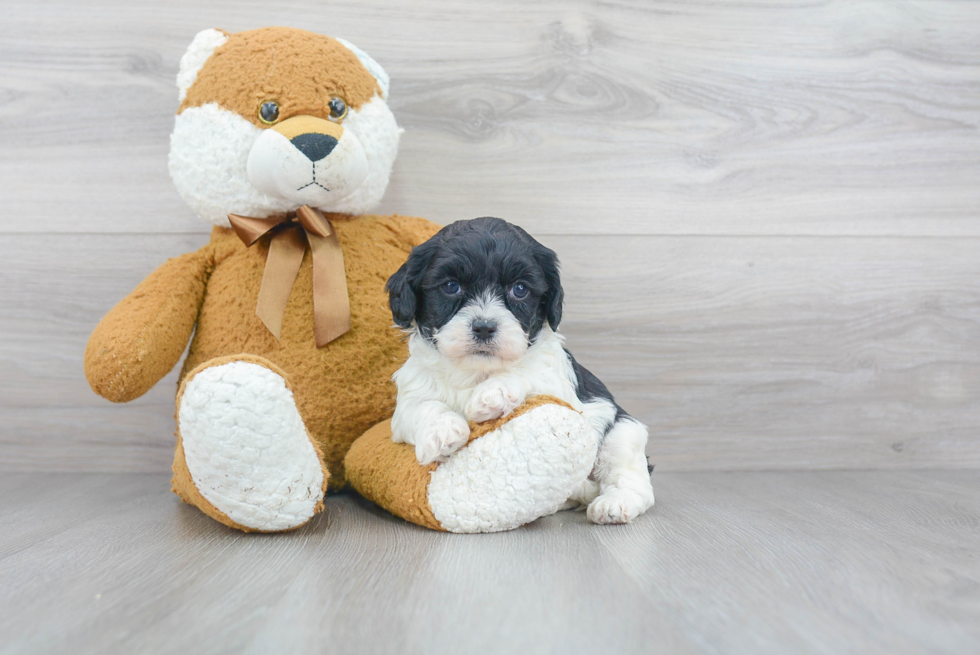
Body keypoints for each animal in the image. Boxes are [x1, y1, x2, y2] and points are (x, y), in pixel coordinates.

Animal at [386, 218, 656, 524]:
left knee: (633, 478)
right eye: (451, 286)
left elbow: (529, 372)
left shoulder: (561, 388)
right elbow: (424, 407)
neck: (477, 371)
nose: (484, 327)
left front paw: (492, 394)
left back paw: (614, 504)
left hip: (624, 431)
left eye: (520, 289)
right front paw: (443, 431)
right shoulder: (407, 402)